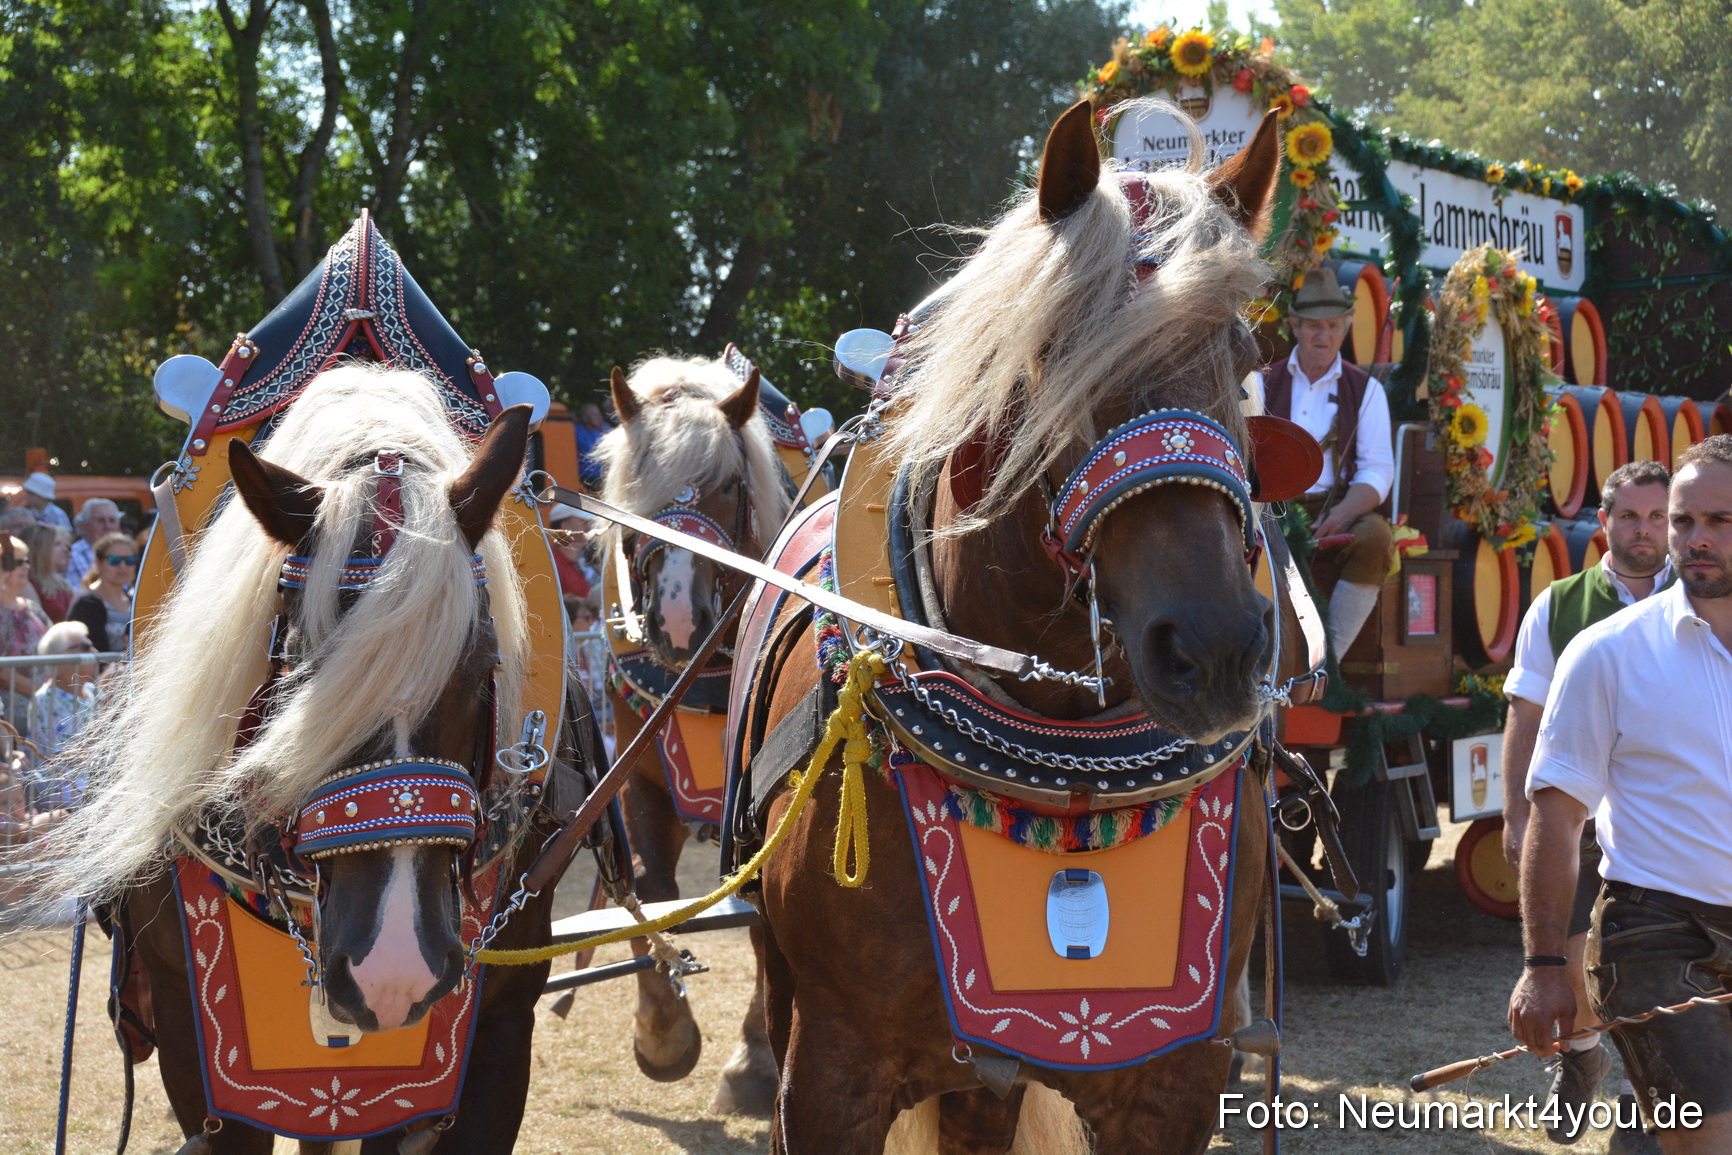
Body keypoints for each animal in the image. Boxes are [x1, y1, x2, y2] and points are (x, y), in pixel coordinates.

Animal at [593, 355, 792, 1113]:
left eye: (730, 486)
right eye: (634, 487)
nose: (679, 618)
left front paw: (754, 1061)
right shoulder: (638, 779)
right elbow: (648, 891)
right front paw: (663, 1035)